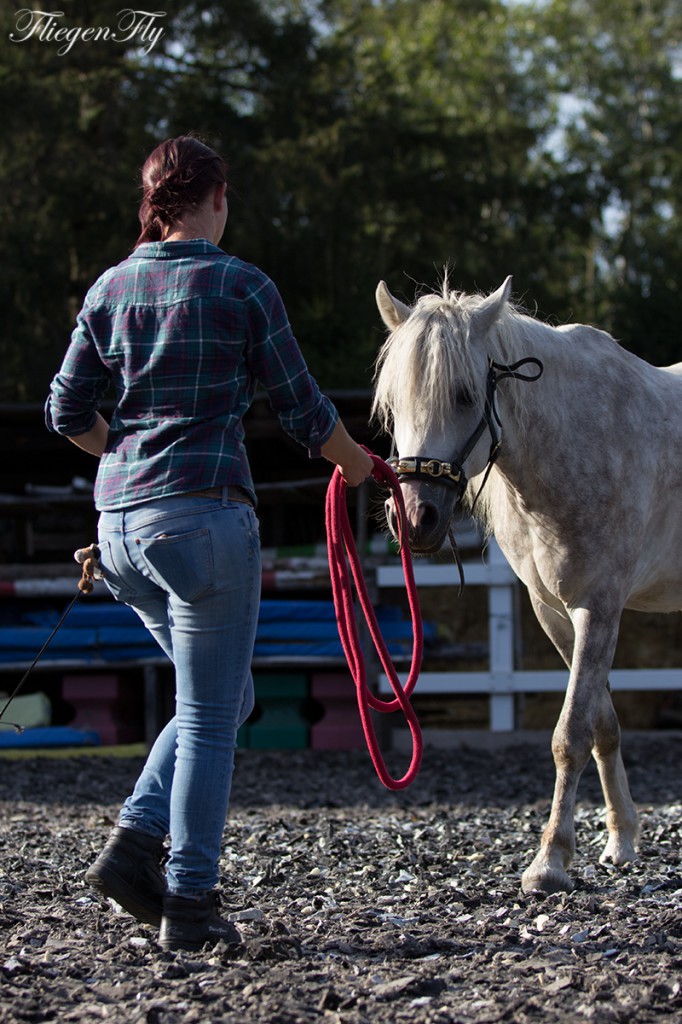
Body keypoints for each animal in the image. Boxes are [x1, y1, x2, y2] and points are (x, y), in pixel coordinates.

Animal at [372, 276, 679, 892]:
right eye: (393, 405)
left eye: (466, 396)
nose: (415, 518)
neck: (577, 439)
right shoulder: (553, 612)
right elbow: (603, 725)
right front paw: (620, 840)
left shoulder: (599, 609)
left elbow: (570, 734)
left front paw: (551, 860)